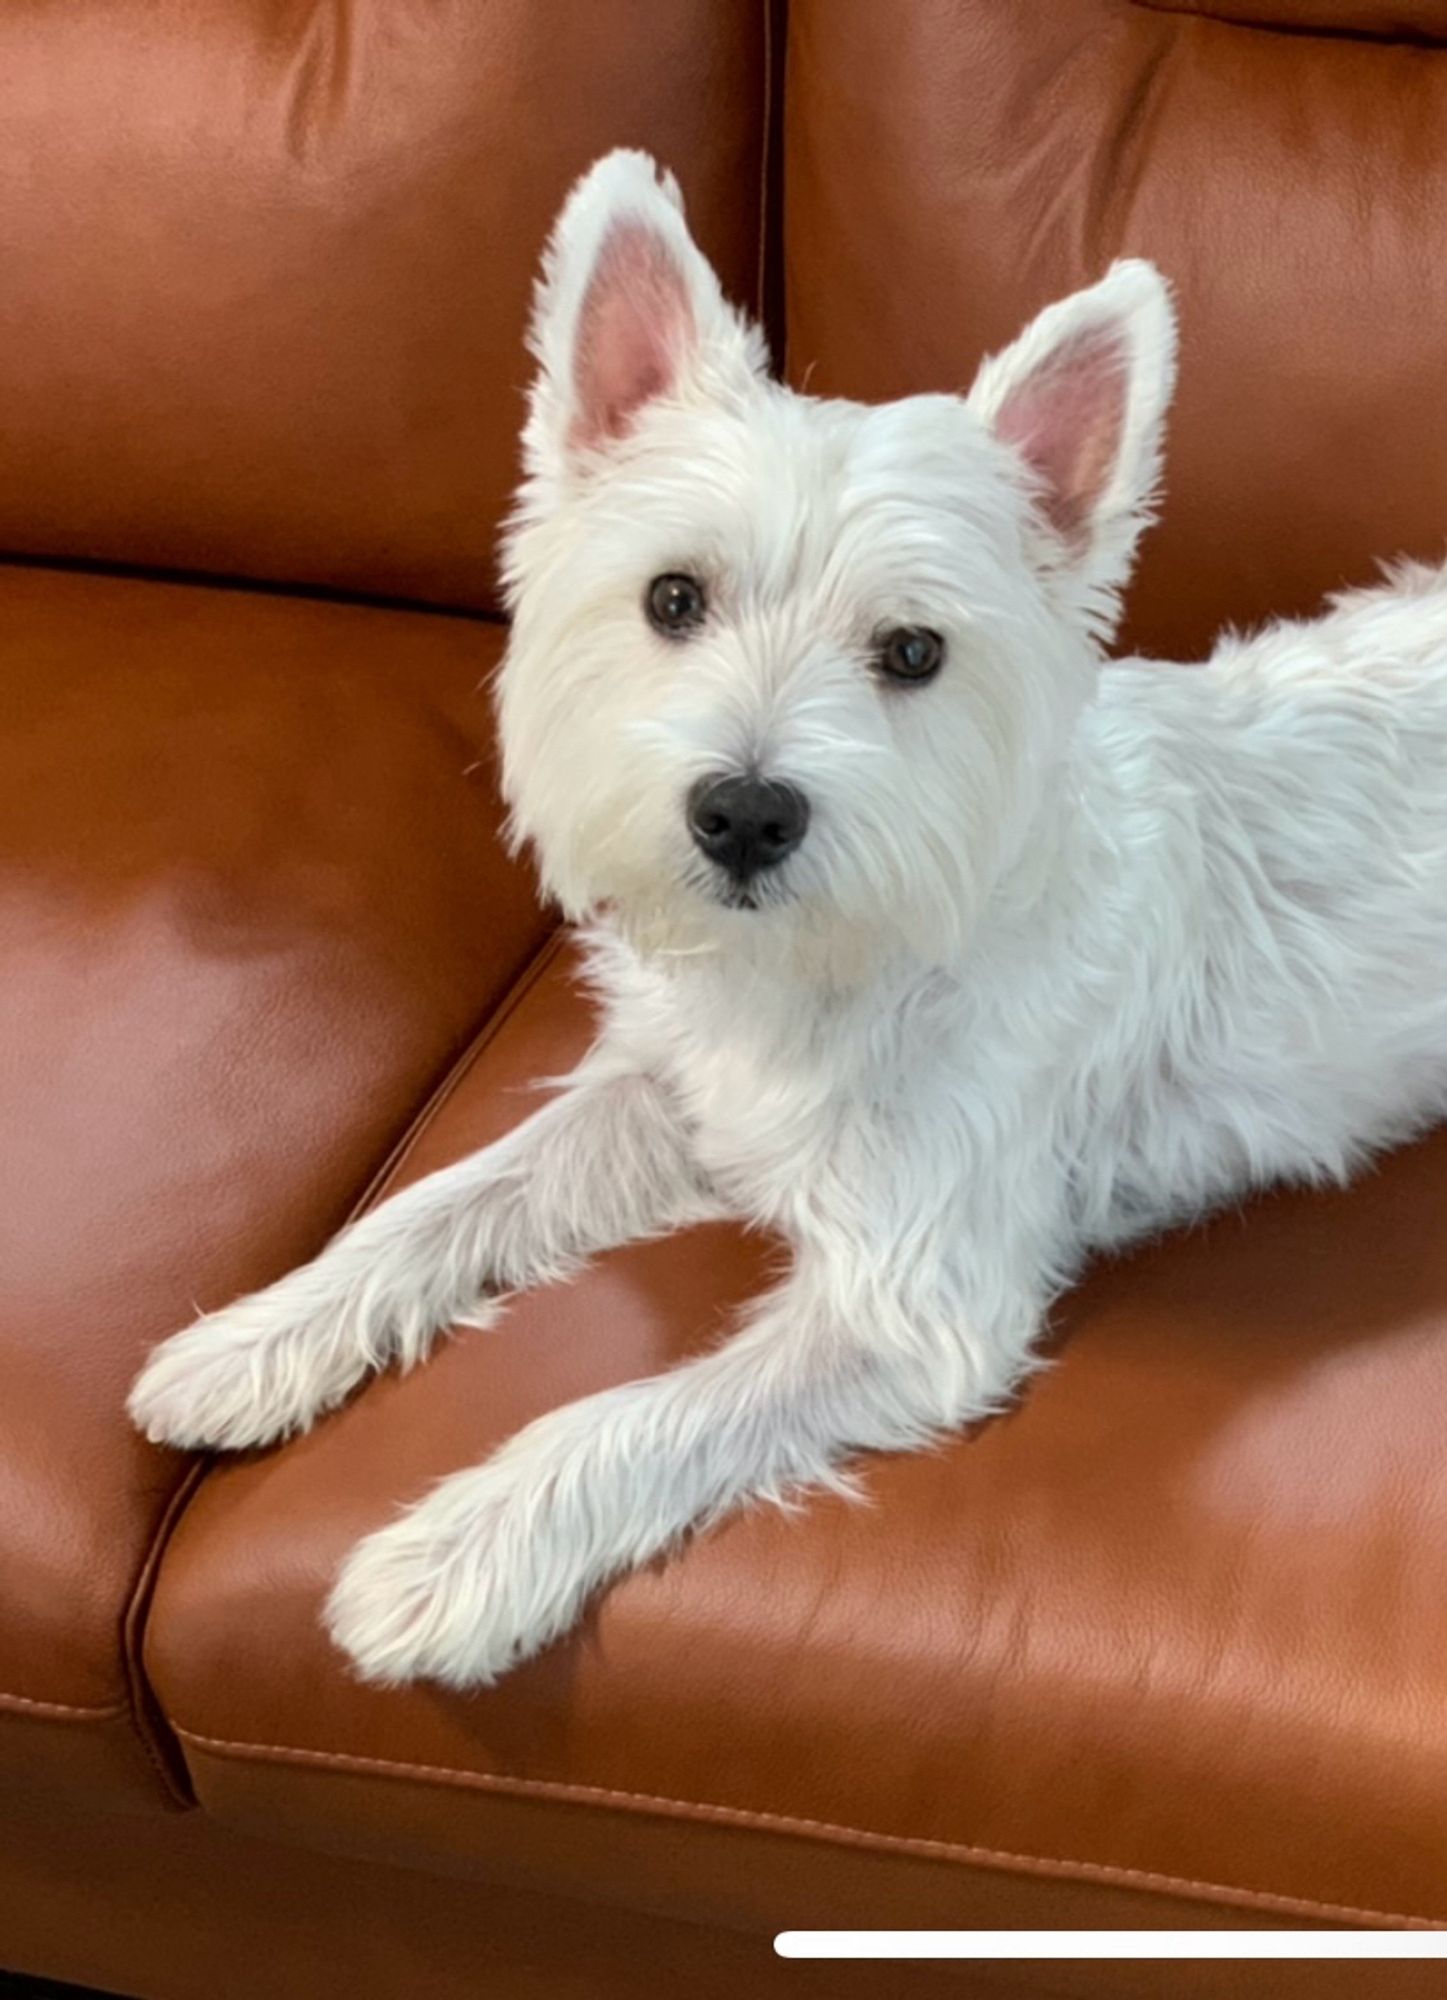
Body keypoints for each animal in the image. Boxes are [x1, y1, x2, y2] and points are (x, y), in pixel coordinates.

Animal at [132, 152, 1447, 1688]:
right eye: (671, 597)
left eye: (914, 652)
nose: (744, 814)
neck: (820, 963)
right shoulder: (663, 1093)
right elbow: (444, 1198)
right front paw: (253, 1339)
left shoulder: (913, 1302)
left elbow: (636, 1416)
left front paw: (448, 1556)